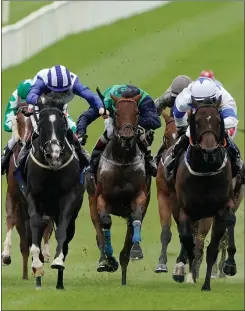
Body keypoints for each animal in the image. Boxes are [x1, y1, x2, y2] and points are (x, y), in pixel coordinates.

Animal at [1, 100, 53, 280]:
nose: (23, 142)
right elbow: (10, 219)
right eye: (17, 120)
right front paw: (6, 255)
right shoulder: (12, 194)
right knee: (25, 240)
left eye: (33, 121)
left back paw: (43, 257)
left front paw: (41, 259)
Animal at [23, 94, 86, 290]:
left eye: (63, 126)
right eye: (42, 126)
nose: (54, 154)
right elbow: (35, 228)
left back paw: (59, 283)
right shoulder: (33, 197)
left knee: (66, 239)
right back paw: (38, 279)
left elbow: (62, 233)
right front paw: (37, 266)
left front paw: (58, 261)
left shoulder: (69, 198)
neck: (52, 169)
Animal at [88, 93, 151, 288]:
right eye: (116, 112)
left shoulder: (140, 196)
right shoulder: (101, 198)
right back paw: (105, 260)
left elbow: (136, 218)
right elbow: (106, 222)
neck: (122, 160)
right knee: (98, 228)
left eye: (137, 112)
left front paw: (136, 250)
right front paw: (108, 256)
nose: (127, 136)